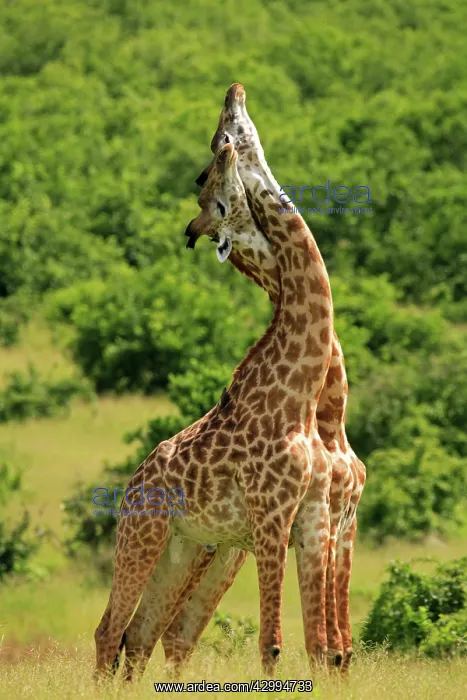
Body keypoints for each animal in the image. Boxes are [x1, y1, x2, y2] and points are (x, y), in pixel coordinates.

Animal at [95, 142, 335, 680]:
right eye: (215, 192)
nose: (226, 146)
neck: (299, 399)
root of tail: (131, 485)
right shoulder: (272, 518)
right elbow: (271, 643)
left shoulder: (311, 514)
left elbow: (318, 645)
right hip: (143, 535)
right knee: (110, 632)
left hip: (187, 549)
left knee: (141, 637)